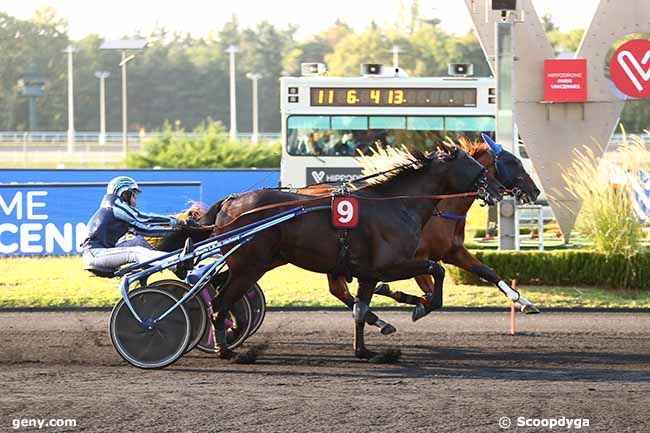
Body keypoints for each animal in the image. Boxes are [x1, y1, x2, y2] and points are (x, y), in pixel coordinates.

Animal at [206, 143, 502, 360]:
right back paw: (226, 349)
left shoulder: (368, 274)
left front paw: (363, 350)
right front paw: (422, 306)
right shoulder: (392, 265)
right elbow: (437, 269)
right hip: (249, 266)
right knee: (219, 303)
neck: (397, 205)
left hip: (255, 264)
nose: (498, 190)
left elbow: (360, 309)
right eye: (477, 166)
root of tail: (231, 202)